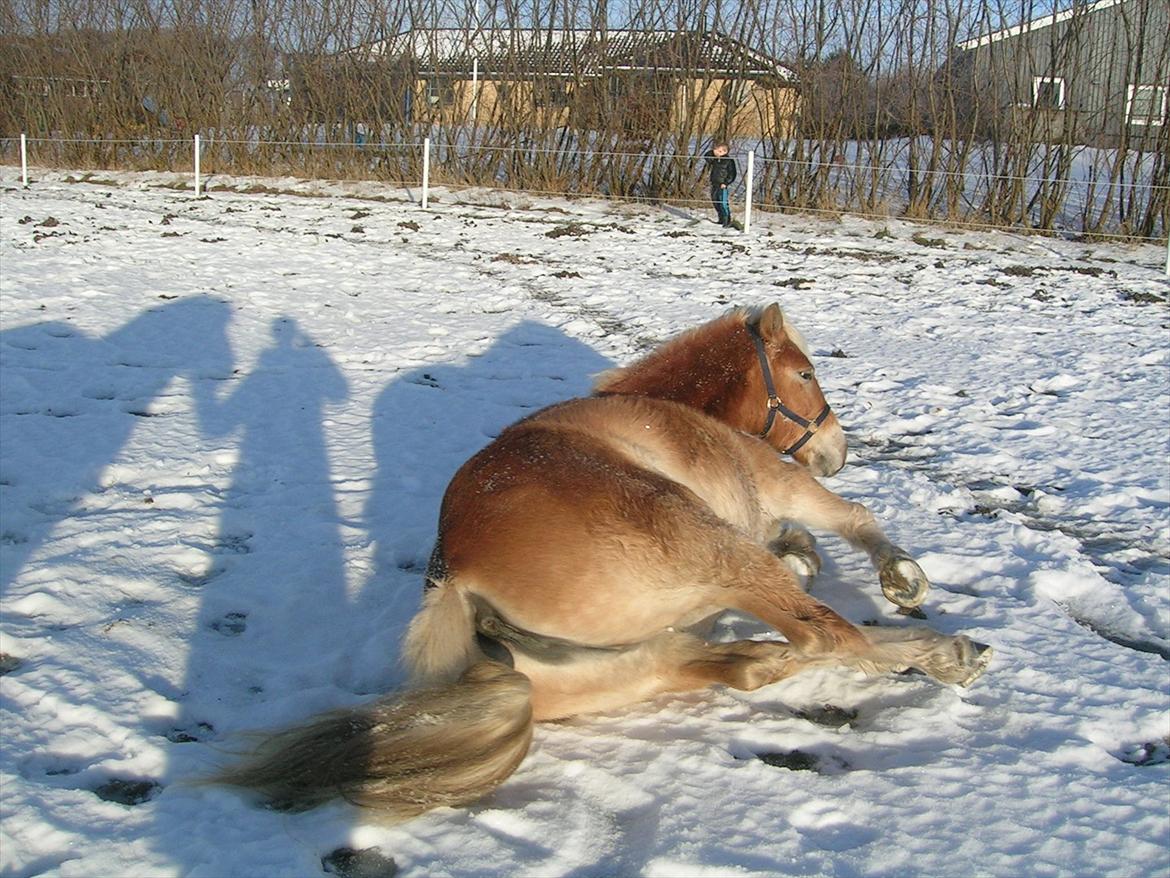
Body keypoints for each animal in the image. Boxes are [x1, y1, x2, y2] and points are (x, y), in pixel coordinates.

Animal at [215, 306, 992, 824]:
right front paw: (902, 576)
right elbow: (853, 520)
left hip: (626, 666)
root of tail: (463, 585)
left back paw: (767, 654)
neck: (678, 412)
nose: (838, 450)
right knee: (827, 635)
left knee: (736, 661)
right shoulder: (778, 487)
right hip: (716, 553)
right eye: (804, 372)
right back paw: (945, 652)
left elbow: (805, 545)